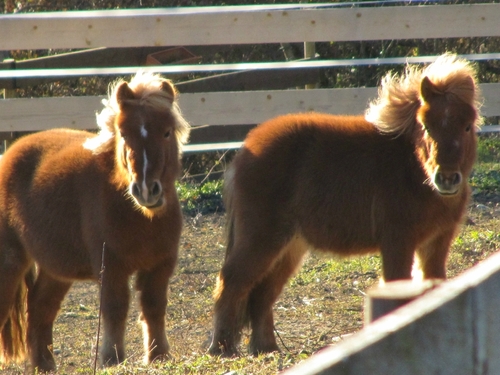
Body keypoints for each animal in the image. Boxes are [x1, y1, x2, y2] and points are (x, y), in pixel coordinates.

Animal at [0, 71, 189, 374]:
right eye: (124, 134)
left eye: (167, 132)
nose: (146, 190)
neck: (141, 217)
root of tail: (11, 154)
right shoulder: (110, 265)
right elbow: (115, 308)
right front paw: (112, 358)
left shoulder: (161, 264)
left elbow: (154, 306)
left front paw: (158, 356)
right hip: (10, 260)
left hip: (56, 272)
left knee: (40, 310)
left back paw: (45, 365)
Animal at [209, 54, 482, 356]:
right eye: (426, 126)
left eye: (467, 126)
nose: (446, 178)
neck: (413, 171)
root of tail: (245, 151)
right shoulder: (398, 242)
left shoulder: (436, 243)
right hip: (262, 239)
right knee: (232, 282)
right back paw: (222, 349)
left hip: (290, 246)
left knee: (262, 294)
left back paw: (266, 348)